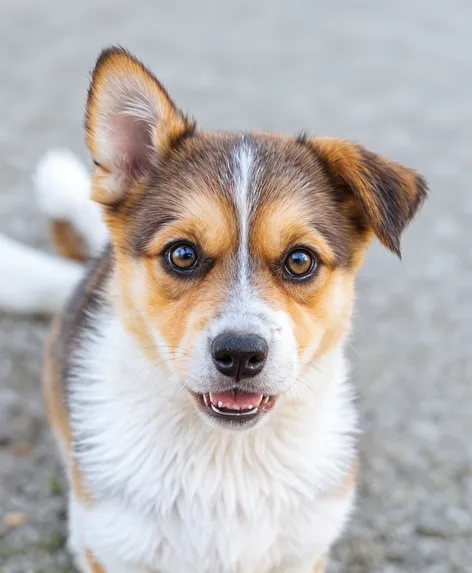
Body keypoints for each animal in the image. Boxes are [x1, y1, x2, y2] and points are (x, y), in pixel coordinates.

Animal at [0, 48, 428, 572]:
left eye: (300, 260)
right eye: (182, 254)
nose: (240, 354)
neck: (227, 455)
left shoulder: (305, 550)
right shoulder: (118, 549)